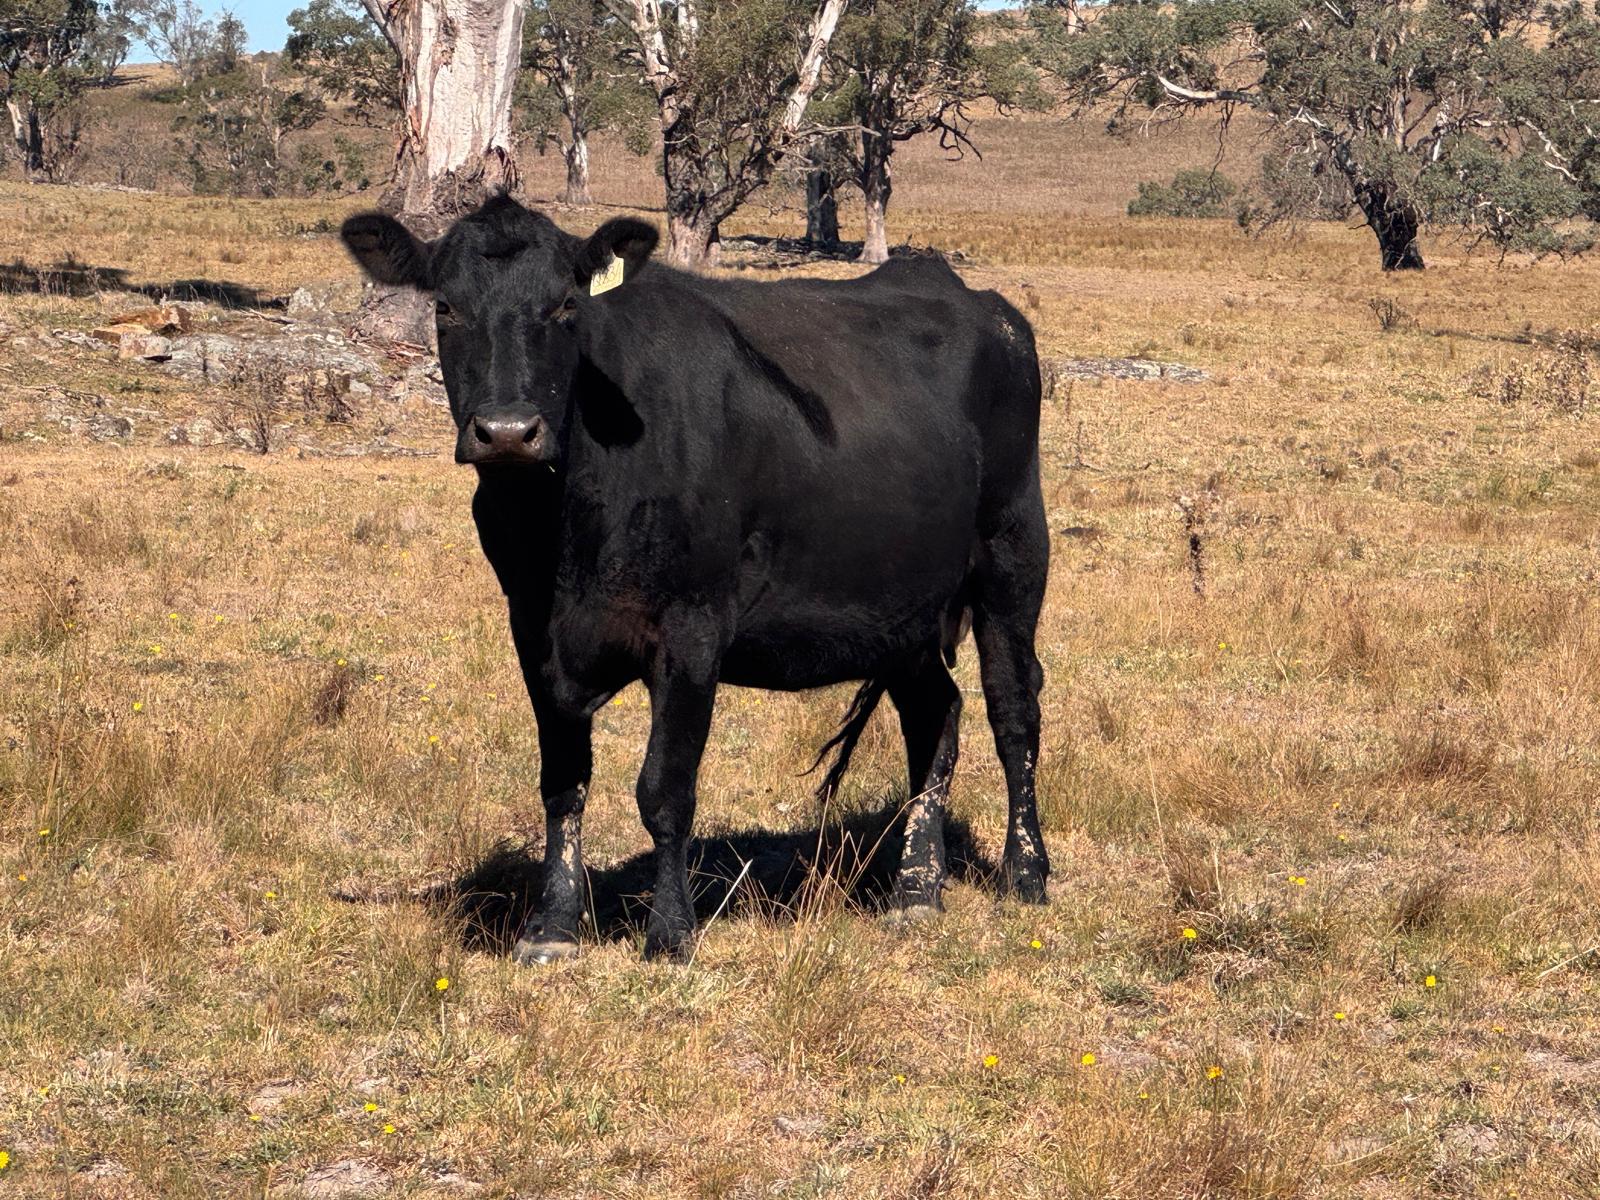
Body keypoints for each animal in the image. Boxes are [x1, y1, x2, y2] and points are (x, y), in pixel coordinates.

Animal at [339, 195, 1050, 963]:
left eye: (565, 305)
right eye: (445, 307)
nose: (506, 431)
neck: (563, 530)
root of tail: (981, 303)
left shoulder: (691, 627)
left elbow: (665, 789)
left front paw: (670, 931)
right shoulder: (532, 629)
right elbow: (562, 782)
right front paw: (552, 926)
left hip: (1013, 557)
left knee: (1014, 714)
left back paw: (1026, 873)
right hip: (902, 604)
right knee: (934, 717)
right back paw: (917, 889)